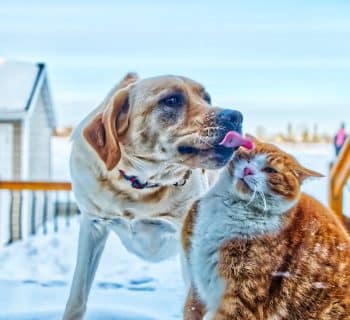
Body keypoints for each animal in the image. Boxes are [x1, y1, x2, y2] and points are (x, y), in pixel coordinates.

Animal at [63, 74, 243, 318]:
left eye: (207, 98)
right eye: (172, 100)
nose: (236, 116)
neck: (140, 187)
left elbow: (194, 305)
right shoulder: (93, 225)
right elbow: (77, 297)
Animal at [182, 138, 350, 320]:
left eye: (270, 170)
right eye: (248, 157)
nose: (248, 170)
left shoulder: (241, 298)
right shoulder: (195, 284)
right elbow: (191, 308)